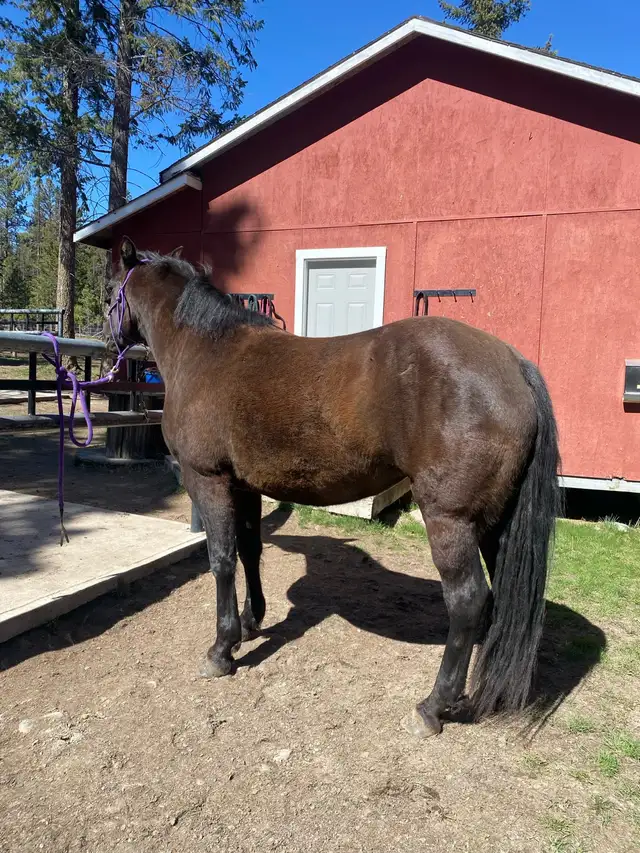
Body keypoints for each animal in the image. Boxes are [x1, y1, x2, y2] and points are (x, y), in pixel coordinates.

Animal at [104, 237, 561, 738]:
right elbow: (250, 550)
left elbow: (221, 560)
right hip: (499, 522)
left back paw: (433, 706)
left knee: (467, 601)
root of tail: (514, 364)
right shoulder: (245, 486)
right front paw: (250, 622)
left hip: (452, 520)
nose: (107, 337)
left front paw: (222, 650)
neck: (206, 350)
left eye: (110, 289)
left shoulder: (208, 481)